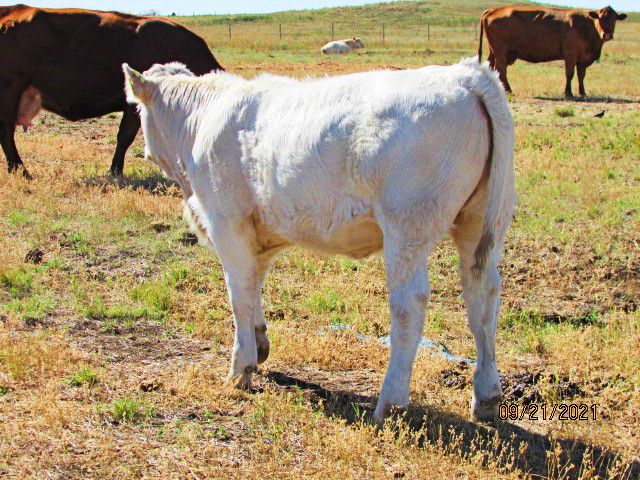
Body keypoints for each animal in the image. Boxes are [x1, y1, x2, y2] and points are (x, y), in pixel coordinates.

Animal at [0, 5, 223, 178]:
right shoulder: (135, 106)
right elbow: (125, 137)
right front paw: (116, 172)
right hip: (10, 90)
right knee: (6, 131)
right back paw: (21, 170)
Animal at [122, 58, 515, 423]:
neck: (201, 120)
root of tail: (464, 73)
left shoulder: (227, 221)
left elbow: (238, 294)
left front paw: (240, 368)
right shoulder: (262, 229)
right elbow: (253, 285)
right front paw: (260, 343)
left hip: (407, 226)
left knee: (410, 305)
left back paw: (389, 403)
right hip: (481, 224)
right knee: (482, 297)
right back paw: (487, 397)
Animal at [478, 5, 627, 97]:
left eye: (614, 19)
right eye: (600, 18)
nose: (607, 34)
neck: (587, 26)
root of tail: (494, 10)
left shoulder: (582, 59)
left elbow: (581, 76)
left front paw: (583, 92)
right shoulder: (570, 55)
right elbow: (570, 74)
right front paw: (568, 93)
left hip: (493, 51)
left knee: (490, 66)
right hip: (500, 51)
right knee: (501, 70)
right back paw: (508, 90)